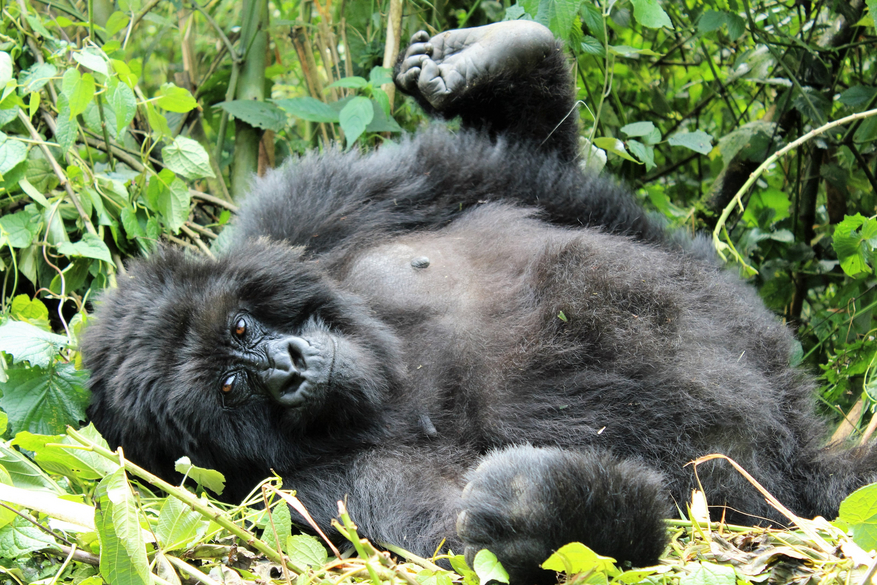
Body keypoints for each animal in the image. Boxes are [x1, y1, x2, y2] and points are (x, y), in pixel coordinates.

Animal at [82, 19, 876, 584]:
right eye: (229, 388)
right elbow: (463, 539)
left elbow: (502, 170)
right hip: (791, 496)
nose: (289, 369)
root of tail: (799, 454)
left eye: (242, 328)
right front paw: (538, 504)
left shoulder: (305, 211)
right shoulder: (297, 494)